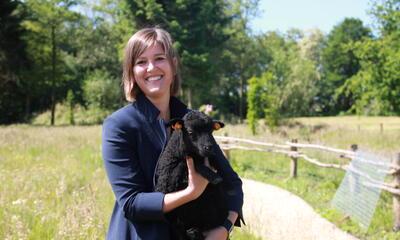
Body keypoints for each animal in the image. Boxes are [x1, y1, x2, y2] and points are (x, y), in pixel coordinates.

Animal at [154, 110, 228, 240]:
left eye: (211, 131)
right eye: (190, 132)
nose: (209, 147)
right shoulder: (166, 183)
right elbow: (188, 161)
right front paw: (215, 177)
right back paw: (192, 233)